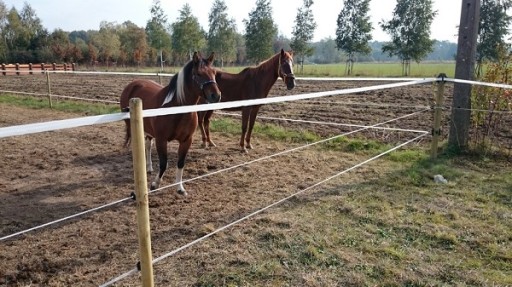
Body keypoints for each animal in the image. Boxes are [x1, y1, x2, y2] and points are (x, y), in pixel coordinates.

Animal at [121, 51, 223, 196]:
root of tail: (133, 84)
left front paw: (180, 188)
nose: (216, 95)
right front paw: (154, 184)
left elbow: (180, 163)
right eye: (198, 74)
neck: (176, 109)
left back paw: (149, 168)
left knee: (148, 145)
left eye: (214, 72)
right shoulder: (161, 140)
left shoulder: (186, 141)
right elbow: (164, 164)